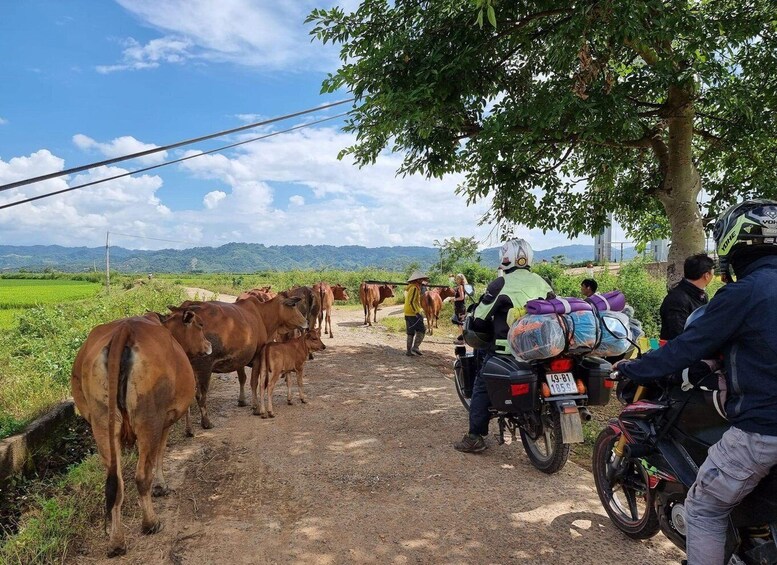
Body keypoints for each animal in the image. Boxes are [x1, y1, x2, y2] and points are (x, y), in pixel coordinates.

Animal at [70, 308, 212, 556]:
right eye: (200, 325)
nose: (209, 345)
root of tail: (124, 331)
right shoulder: (164, 422)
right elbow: (160, 455)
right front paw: (161, 486)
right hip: (149, 420)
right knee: (141, 475)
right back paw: (150, 523)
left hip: (101, 424)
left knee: (115, 484)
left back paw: (116, 541)